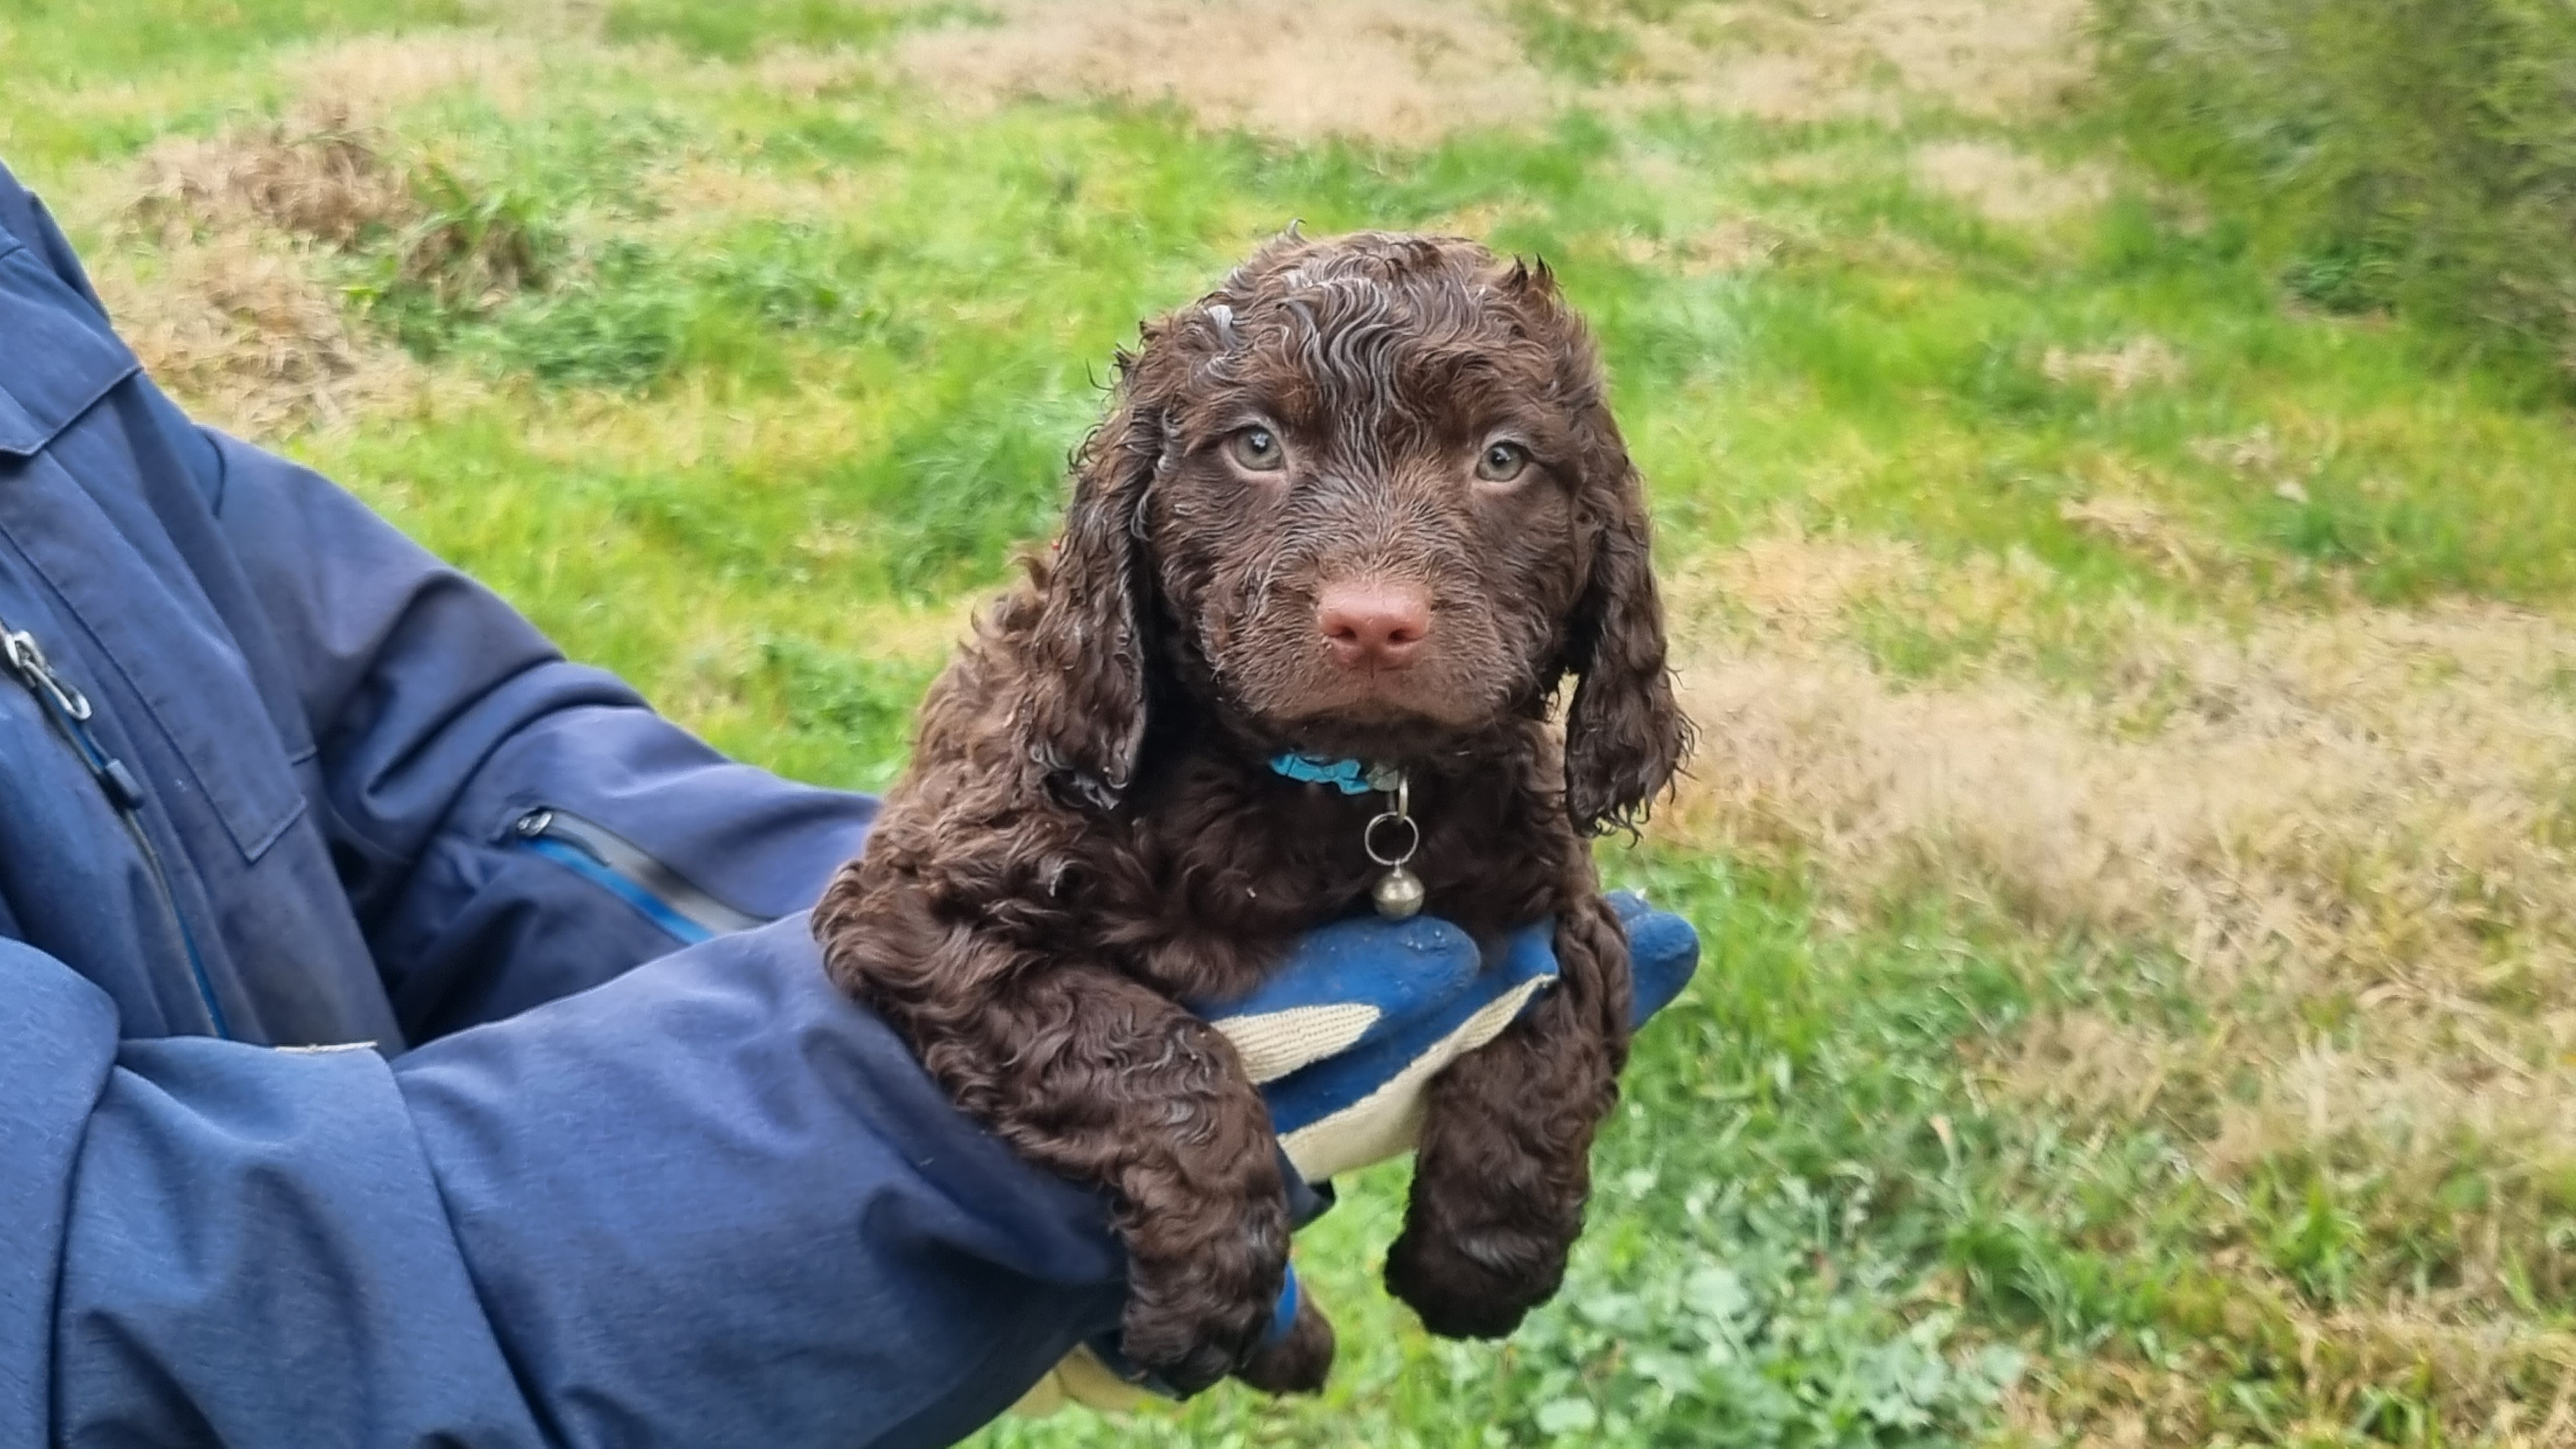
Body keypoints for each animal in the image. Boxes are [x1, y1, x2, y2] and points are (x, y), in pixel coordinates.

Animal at [815, 230, 1691, 1395]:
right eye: (1257, 445)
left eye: (1503, 459)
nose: (1373, 622)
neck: (1340, 791)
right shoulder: (920, 899)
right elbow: (1160, 1053)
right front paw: (1212, 1290)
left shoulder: (1556, 895)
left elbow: (1551, 1044)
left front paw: (1476, 1265)